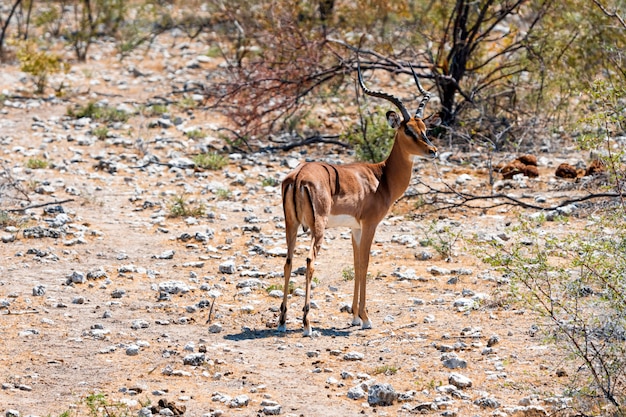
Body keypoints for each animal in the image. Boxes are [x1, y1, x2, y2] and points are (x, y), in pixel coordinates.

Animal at [276, 61, 436, 334]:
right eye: (408, 130)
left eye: (424, 128)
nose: (432, 150)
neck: (381, 177)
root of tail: (298, 176)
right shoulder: (370, 225)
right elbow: (364, 264)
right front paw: (366, 318)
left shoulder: (355, 228)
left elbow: (355, 263)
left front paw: (354, 316)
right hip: (317, 228)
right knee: (308, 261)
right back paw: (307, 324)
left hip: (292, 225)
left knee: (288, 261)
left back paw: (283, 322)